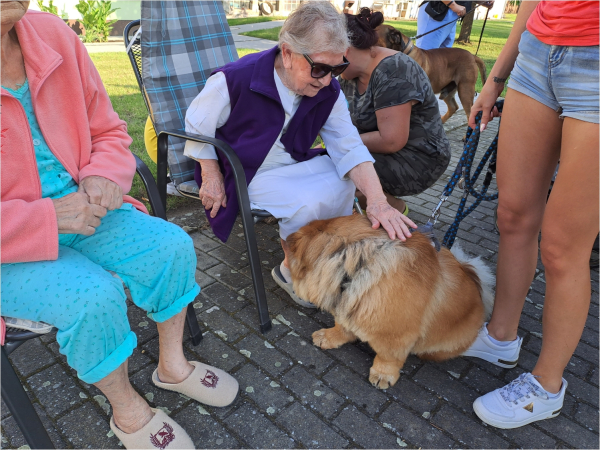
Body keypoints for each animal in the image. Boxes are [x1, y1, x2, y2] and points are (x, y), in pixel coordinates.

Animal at [288, 215, 492, 390]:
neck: (360, 264)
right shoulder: (350, 304)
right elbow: (342, 325)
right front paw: (329, 337)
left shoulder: (395, 335)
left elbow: (388, 358)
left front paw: (382, 375)